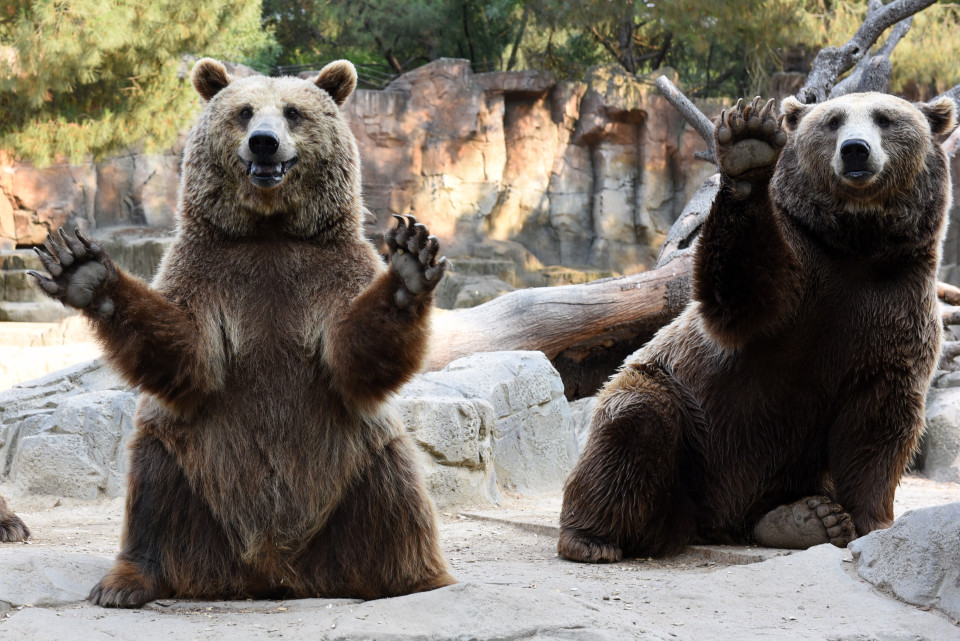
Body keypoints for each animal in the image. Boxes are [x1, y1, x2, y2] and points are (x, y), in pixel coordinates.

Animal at [32, 57, 458, 604]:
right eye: (244, 111)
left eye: (294, 112)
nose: (264, 142)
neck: (269, 229)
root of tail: (271, 569)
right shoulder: (208, 271)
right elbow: (189, 353)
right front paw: (83, 269)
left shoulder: (328, 271)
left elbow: (354, 356)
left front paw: (408, 265)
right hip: (188, 462)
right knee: (152, 496)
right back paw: (127, 581)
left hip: (359, 458)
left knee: (395, 499)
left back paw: (413, 579)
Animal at [560, 91, 956, 560]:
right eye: (833, 121)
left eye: (885, 118)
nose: (855, 150)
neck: (856, 247)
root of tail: (719, 520)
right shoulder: (798, 276)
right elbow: (739, 293)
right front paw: (749, 145)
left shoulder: (896, 306)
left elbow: (879, 421)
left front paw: (868, 521)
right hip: (686, 411)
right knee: (634, 427)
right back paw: (592, 538)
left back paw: (806, 518)